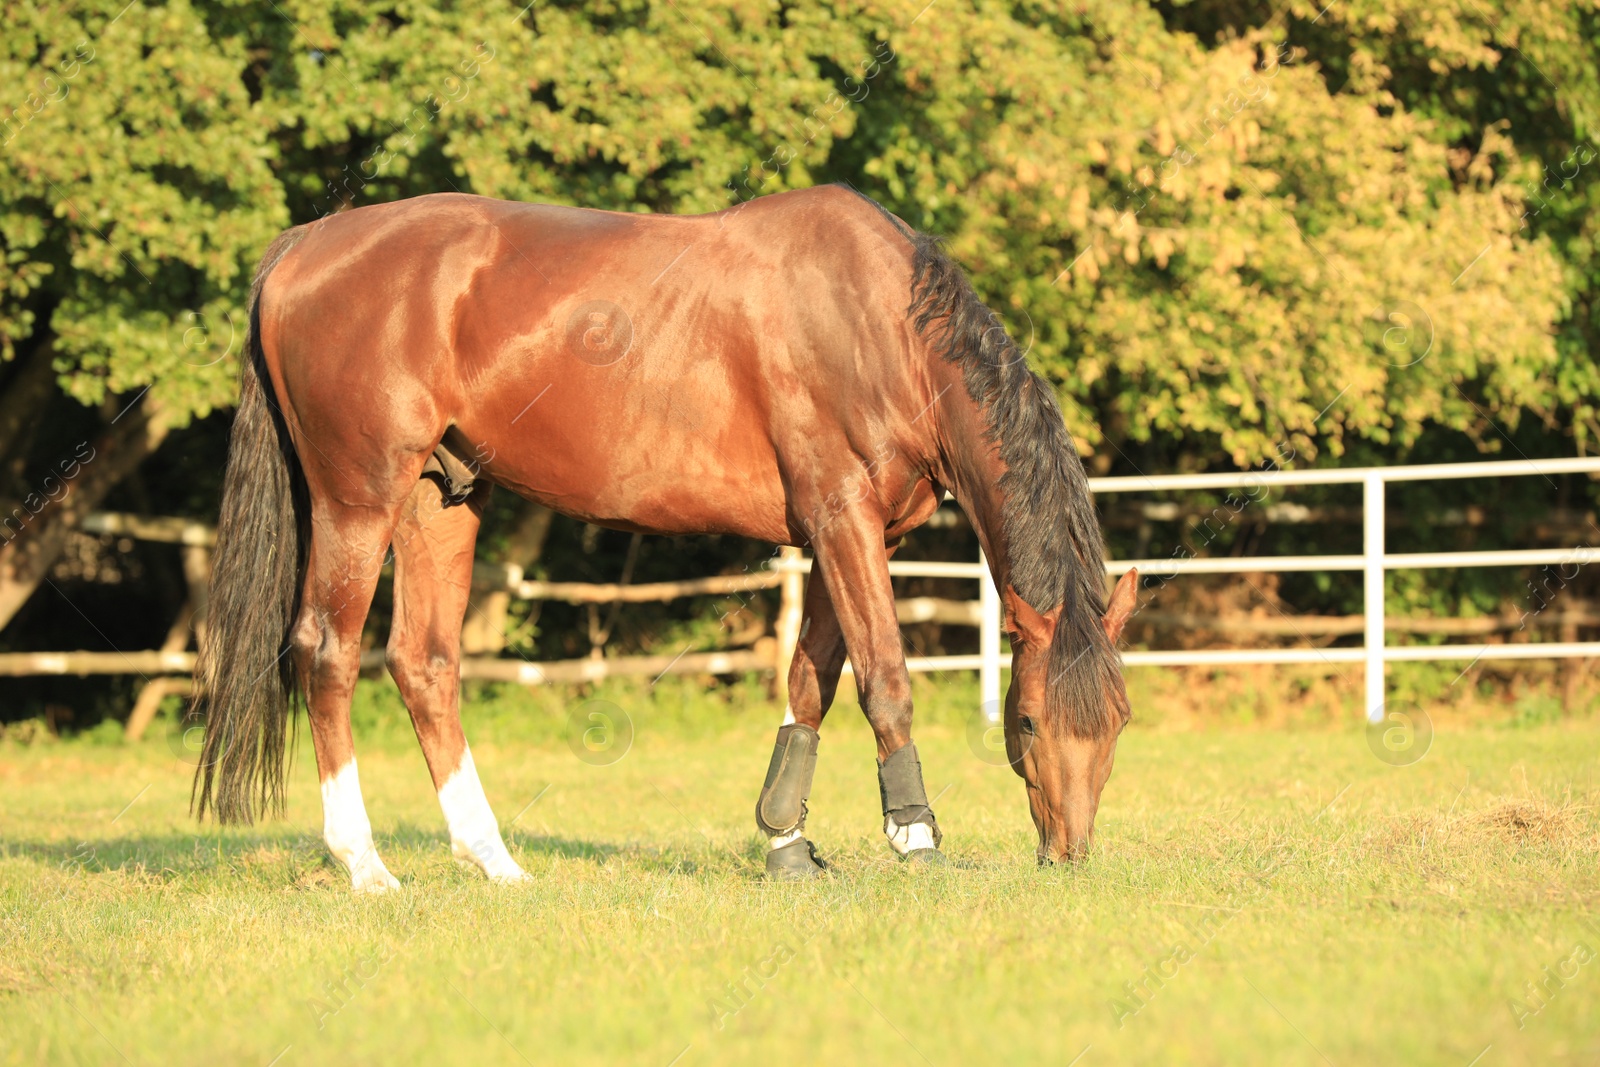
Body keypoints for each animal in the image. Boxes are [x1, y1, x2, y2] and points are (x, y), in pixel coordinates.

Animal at [193, 185, 1139, 895]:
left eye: (1119, 722)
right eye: (1027, 718)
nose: (1068, 855)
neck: (881, 328)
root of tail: (306, 245)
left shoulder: (844, 535)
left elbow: (811, 684)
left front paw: (784, 845)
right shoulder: (844, 520)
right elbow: (884, 679)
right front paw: (915, 839)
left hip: (441, 499)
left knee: (424, 664)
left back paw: (494, 860)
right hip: (359, 498)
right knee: (327, 651)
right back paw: (365, 864)